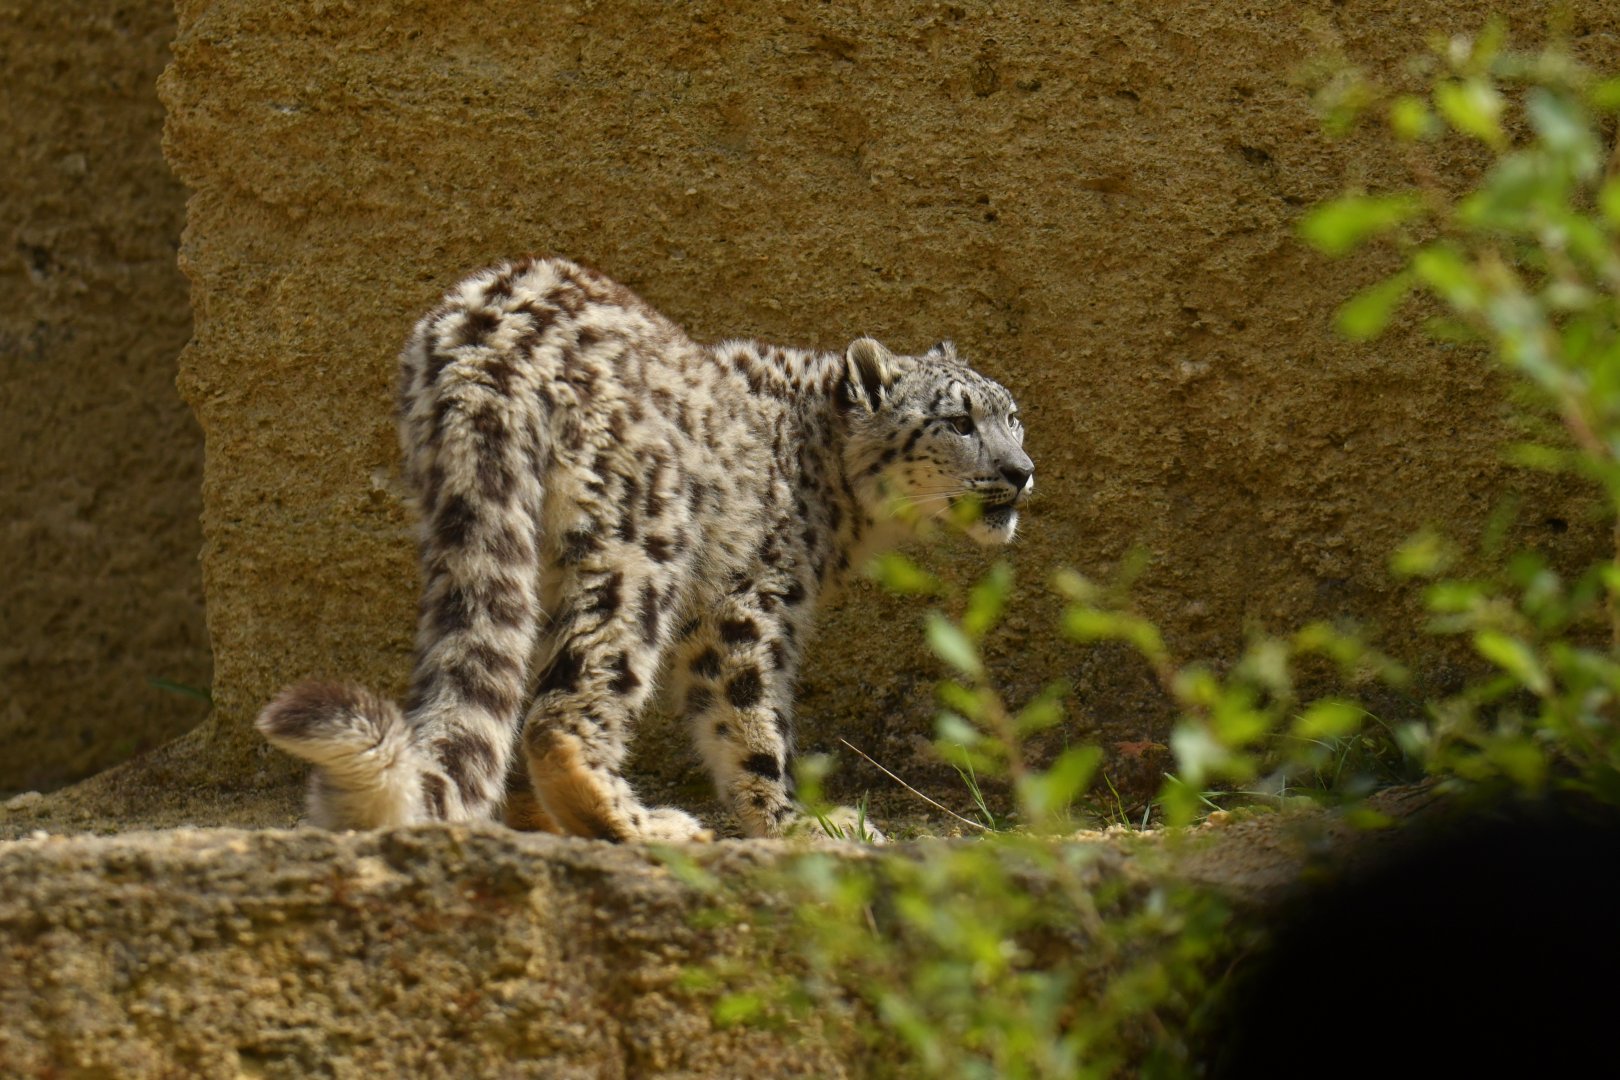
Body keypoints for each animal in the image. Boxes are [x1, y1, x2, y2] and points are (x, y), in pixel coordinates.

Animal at [257, 256, 1033, 842]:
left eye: (1013, 416)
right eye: (958, 421)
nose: (1022, 470)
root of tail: (486, 340)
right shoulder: (750, 598)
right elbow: (751, 715)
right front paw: (799, 822)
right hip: (644, 540)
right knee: (565, 707)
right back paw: (642, 823)